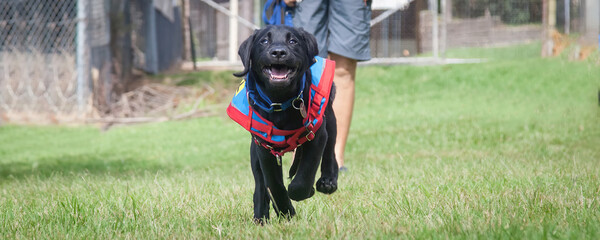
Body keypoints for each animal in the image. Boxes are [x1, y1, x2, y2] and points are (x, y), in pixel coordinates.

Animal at [226, 25, 338, 222]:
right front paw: (285, 211)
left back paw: (328, 180)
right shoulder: (264, 148)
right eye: (264, 41)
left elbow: (304, 175)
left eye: (293, 41)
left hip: (329, 118)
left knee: (330, 151)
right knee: (260, 184)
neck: (279, 102)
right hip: (254, 152)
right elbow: (273, 183)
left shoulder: (316, 135)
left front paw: (303, 192)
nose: (278, 52)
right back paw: (260, 216)